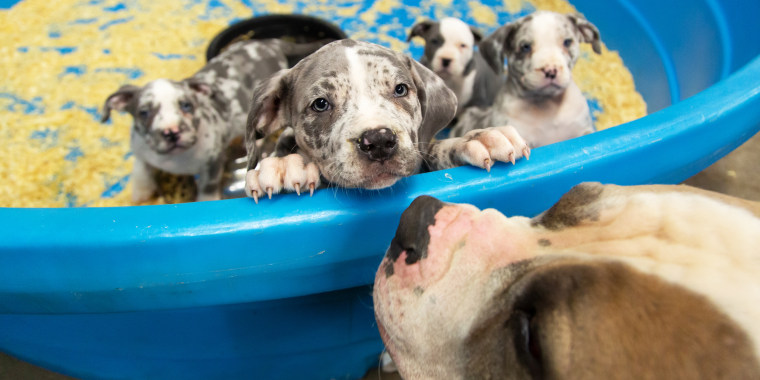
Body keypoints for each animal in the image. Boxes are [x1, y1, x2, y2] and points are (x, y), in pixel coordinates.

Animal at [101, 39, 326, 202]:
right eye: (144, 112)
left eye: (186, 106)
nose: (172, 132)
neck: (175, 159)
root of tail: (271, 43)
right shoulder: (141, 147)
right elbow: (140, 166)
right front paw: (141, 191)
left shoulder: (213, 162)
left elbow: (207, 189)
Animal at [243, 39, 528, 202]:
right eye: (320, 104)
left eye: (400, 89)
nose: (378, 140)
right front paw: (284, 166)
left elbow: (434, 150)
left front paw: (480, 138)